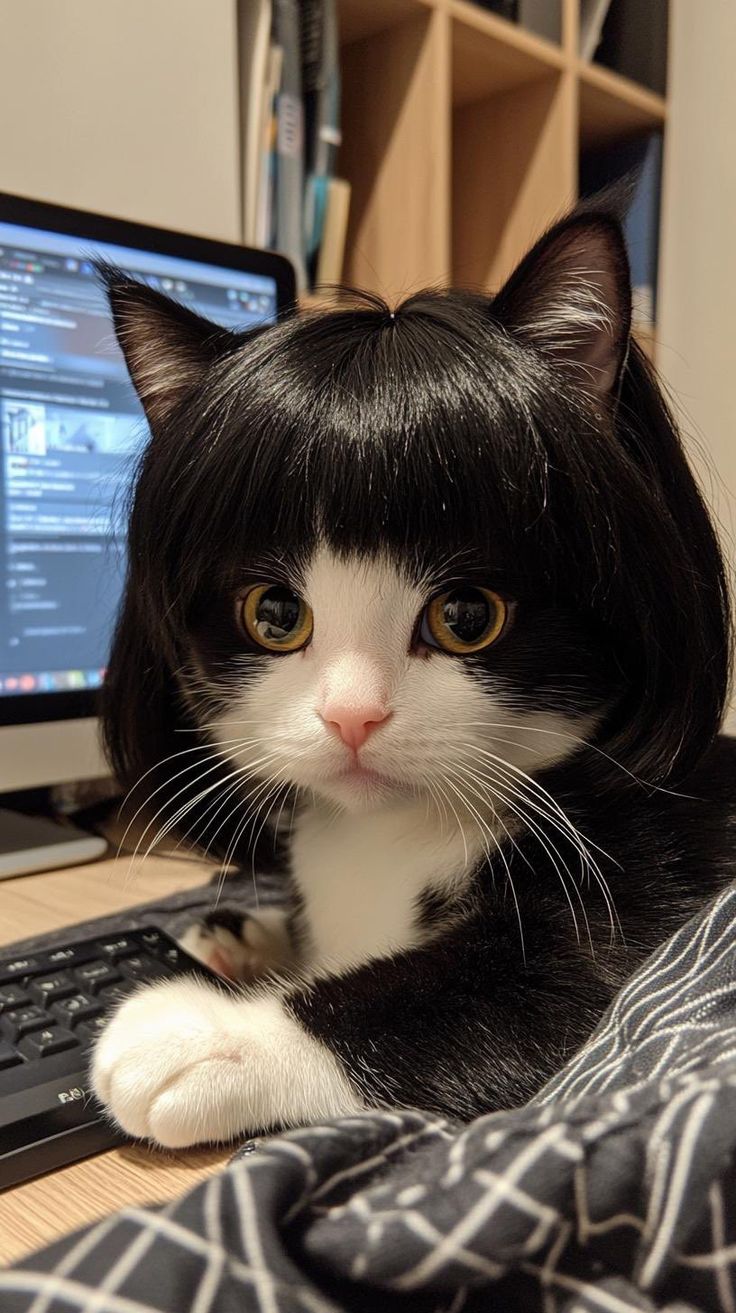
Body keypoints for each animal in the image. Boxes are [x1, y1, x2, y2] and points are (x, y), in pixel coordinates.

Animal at [91, 215, 734, 1150]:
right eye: (273, 612)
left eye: (467, 613)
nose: (352, 716)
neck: (385, 835)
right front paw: (243, 936)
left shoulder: (647, 879)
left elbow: (521, 994)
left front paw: (201, 1032)